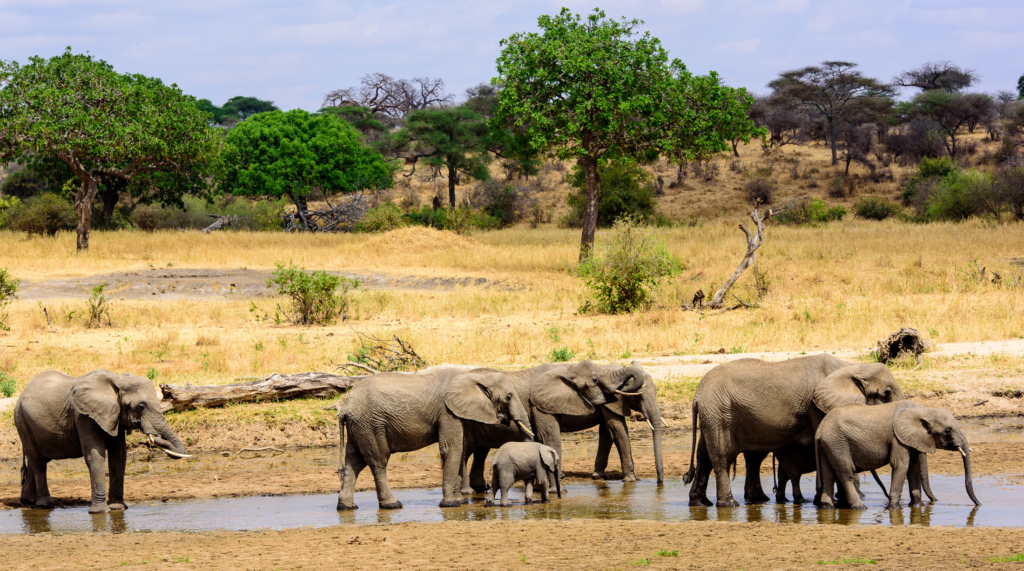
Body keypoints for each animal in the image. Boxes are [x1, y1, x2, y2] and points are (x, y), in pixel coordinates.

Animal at [14, 372, 190, 515]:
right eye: (141, 406)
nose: (154, 438)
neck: (118, 380)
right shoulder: (83, 415)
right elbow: (95, 455)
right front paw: (100, 512)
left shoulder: (115, 416)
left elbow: (119, 456)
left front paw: (118, 508)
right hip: (22, 422)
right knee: (37, 461)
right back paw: (45, 505)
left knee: (37, 461)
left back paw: (28, 501)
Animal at [335, 368, 532, 511]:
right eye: (508, 397)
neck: (474, 376)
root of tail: (344, 408)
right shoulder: (447, 412)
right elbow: (452, 449)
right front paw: (452, 504)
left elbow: (458, 448)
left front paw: (458, 500)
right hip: (370, 424)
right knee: (378, 462)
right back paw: (393, 505)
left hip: (359, 425)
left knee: (354, 462)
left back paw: (347, 507)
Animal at [460, 362, 659, 493]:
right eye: (638, 396)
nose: (660, 482)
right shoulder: (540, 405)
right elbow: (616, 431)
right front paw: (632, 481)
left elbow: (608, 431)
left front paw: (599, 477)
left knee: (480, 451)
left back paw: (480, 488)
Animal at [684, 358, 909, 509]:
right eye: (887, 393)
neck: (854, 367)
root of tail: (696, 396)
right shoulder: (816, 407)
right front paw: (838, 501)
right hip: (719, 414)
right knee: (721, 457)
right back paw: (729, 504)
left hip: (714, 415)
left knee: (705, 456)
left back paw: (702, 503)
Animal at [811, 403, 978, 509]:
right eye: (948, 430)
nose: (978, 504)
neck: (923, 410)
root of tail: (819, 431)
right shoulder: (897, 438)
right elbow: (901, 465)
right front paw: (893, 508)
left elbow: (913, 469)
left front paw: (917, 506)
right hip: (838, 443)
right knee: (846, 474)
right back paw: (860, 507)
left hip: (829, 444)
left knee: (828, 474)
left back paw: (827, 507)